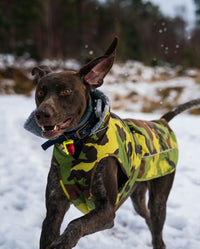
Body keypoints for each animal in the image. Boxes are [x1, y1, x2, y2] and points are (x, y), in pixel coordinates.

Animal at [29, 37, 200, 249]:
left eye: (66, 91)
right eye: (40, 92)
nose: (41, 114)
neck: (78, 143)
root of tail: (161, 121)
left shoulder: (107, 211)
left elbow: (75, 224)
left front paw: (62, 243)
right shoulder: (54, 207)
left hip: (159, 198)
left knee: (157, 230)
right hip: (138, 198)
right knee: (149, 221)